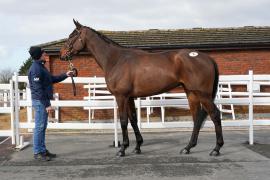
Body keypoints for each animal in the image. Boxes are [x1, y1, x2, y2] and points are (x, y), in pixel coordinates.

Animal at [60, 20, 225, 157]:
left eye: (72, 36)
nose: (62, 55)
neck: (115, 59)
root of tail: (208, 58)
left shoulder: (121, 97)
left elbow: (123, 121)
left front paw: (122, 149)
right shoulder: (130, 97)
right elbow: (133, 119)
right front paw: (137, 146)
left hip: (203, 94)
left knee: (215, 114)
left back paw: (216, 149)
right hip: (191, 93)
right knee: (197, 118)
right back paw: (188, 147)